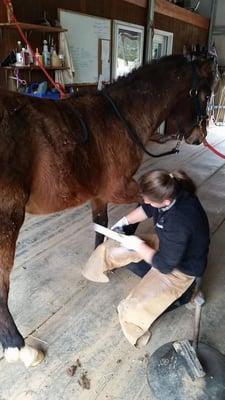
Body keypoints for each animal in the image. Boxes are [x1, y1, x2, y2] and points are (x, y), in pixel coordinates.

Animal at [0, 55, 214, 366]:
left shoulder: (99, 194)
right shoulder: (120, 188)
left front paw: (102, 257)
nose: (200, 136)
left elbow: (102, 224)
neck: (121, 118)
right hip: (8, 220)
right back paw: (20, 348)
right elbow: (139, 211)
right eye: (205, 94)